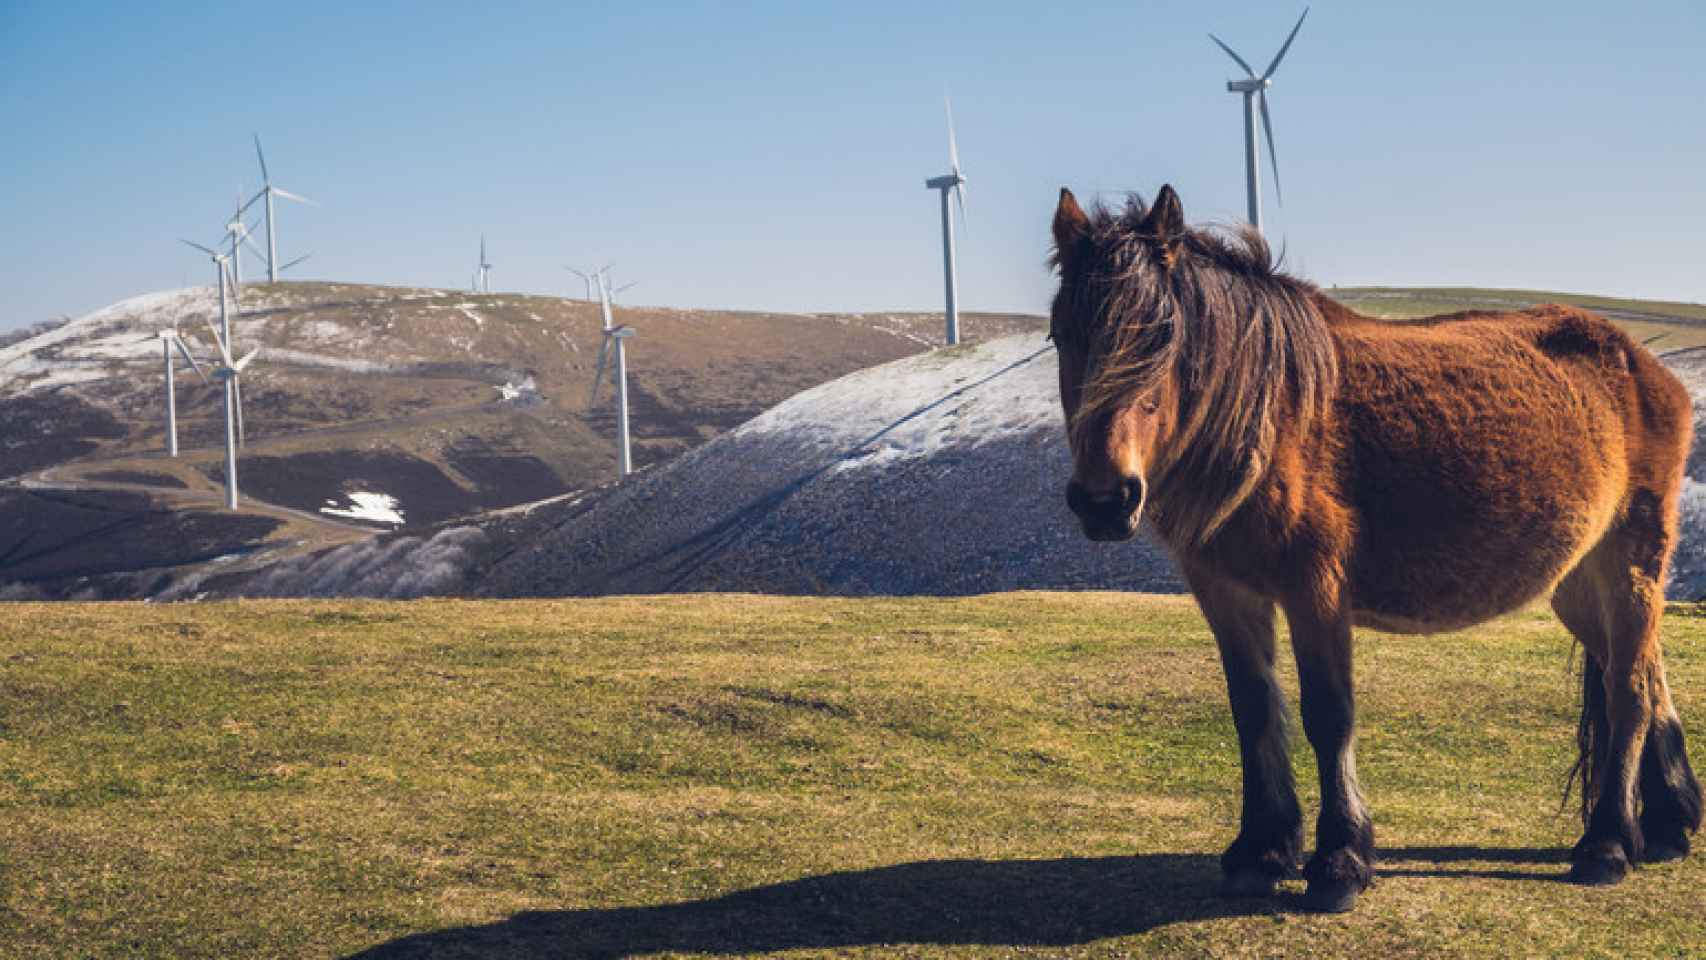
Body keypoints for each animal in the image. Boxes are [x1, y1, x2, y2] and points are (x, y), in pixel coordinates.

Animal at [1044, 184, 1699, 913]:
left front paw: (1340, 860)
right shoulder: (1226, 593)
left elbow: (1329, 714)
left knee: (1629, 692)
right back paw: (1667, 824)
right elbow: (1253, 710)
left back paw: (1608, 844)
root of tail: (1643, 365)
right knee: (1643, 675)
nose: (1105, 500)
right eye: (1061, 334)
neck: (1271, 415)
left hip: (1630, 560)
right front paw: (1261, 850)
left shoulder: (1316, 588)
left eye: (1164, 337)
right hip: (1580, 583)